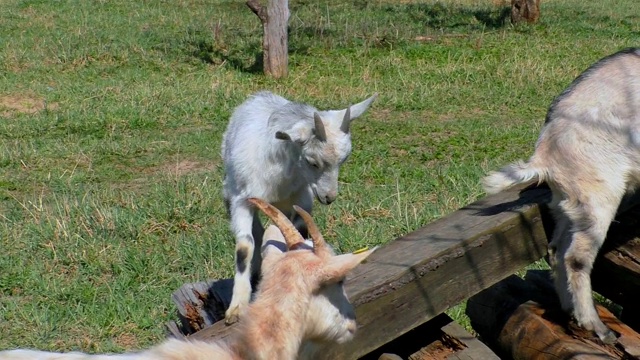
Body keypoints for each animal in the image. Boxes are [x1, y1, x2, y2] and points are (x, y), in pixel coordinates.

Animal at [222, 90, 378, 324]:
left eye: (343, 161)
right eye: (312, 162)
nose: (329, 197)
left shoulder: (302, 198)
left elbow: (298, 232)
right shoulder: (242, 201)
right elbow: (244, 247)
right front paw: (237, 308)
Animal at [484, 47, 640, 344]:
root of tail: (545, 151)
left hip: (571, 202)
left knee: (557, 250)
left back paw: (570, 310)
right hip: (598, 194)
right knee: (576, 258)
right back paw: (597, 327)